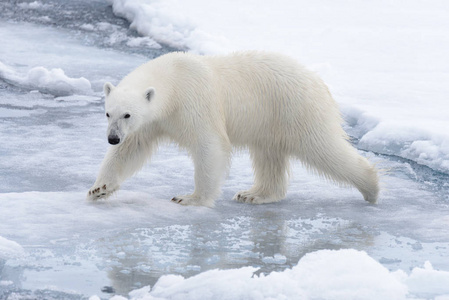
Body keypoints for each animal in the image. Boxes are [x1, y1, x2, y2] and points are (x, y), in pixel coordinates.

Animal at [86, 51, 376, 206]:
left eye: (127, 114)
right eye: (108, 113)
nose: (112, 138)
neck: (173, 79)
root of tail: (318, 81)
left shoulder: (194, 102)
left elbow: (209, 145)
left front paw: (190, 198)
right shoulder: (152, 121)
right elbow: (131, 149)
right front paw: (99, 189)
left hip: (296, 110)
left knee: (323, 148)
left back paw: (371, 187)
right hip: (270, 121)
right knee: (268, 156)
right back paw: (254, 194)